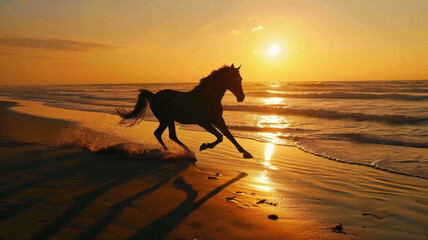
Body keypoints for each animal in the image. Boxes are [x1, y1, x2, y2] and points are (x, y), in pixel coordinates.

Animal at [115, 63, 252, 158]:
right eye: (234, 79)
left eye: (240, 78)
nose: (241, 97)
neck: (207, 97)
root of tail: (153, 96)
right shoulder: (204, 122)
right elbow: (220, 137)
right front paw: (204, 146)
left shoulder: (218, 119)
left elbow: (229, 136)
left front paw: (246, 153)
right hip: (166, 119)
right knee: (161, 134)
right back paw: (176, 152)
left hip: (168, 120)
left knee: (167, 135)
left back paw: (178, 151)